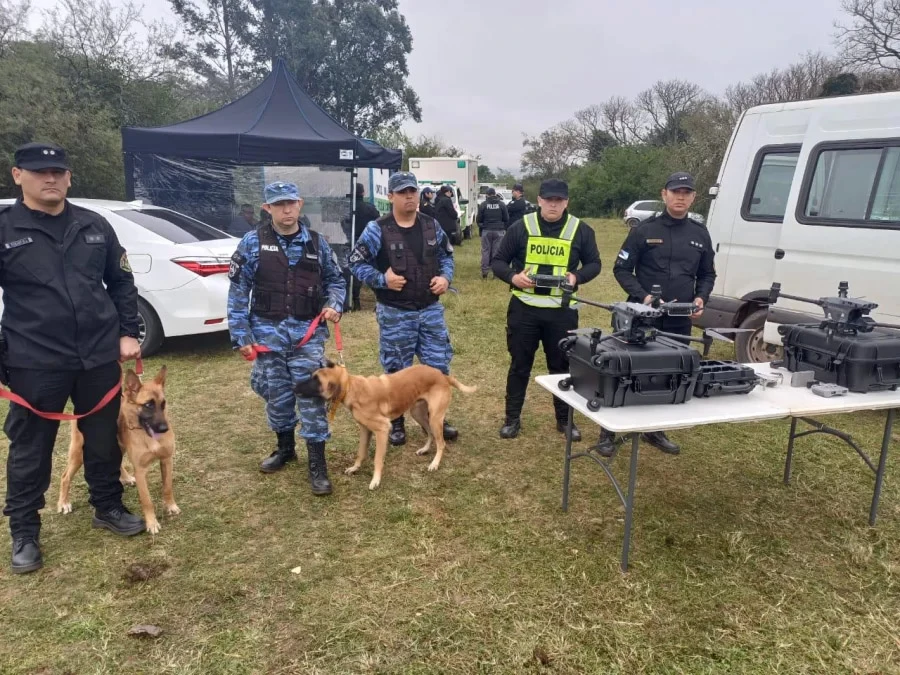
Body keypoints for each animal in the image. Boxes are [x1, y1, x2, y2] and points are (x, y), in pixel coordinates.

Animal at [56, 368, 179, 536]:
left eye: (163, 403)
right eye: (148, 405)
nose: (164, 429)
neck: (146, 434)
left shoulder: (166, 460)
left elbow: (167, 487)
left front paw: (171, 506)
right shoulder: (140, 470)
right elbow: (147, 501)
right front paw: (152, 523)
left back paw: (126, 478)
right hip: (79, 453)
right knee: (65, 476)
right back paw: (63, 503)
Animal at [296, 364, 478, 492]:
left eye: (316, 380)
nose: (294, 386)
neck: (352, 387)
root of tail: (442, 375)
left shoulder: (382, 430)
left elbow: (377, 459)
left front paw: (375, 480)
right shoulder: (365, 429)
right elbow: (360, 453)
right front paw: (355, 468)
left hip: (435, 417)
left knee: (441, 443)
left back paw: (434, 464)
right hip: (418, 413)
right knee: (430, 434)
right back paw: (425, 450)